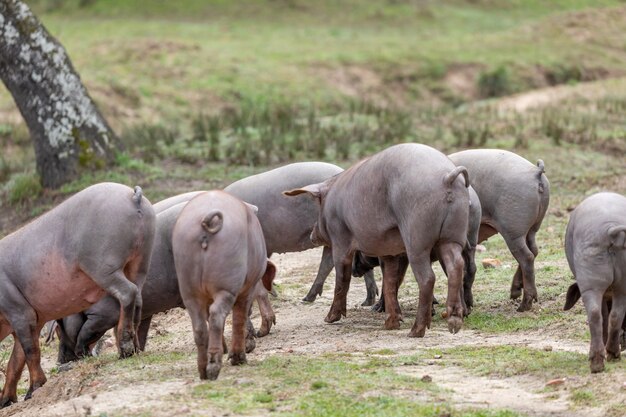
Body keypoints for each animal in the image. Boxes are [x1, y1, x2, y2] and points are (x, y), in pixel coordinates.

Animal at [0, 182, 155, 406]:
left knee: (127, 293)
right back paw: (133, 350)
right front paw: (8, 401)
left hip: (103, 266)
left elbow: (30, 352)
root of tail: (133, 195)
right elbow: (16, 360)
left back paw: (125, 350)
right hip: (140, 261)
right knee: (139, 298)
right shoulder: (31, 320)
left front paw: (35, 389)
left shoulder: (20, 312)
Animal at [174, 190, 274, 378]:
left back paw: (203, 371)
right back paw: (215, 367)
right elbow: (241, 317)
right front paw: (239, 357)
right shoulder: (248, 288)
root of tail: (207, 221)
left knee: (200, 325)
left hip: (188, 287)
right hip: (227, 281)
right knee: (217, 316)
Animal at [282, 142, 468, 334]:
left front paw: (329, 319)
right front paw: (391, 324)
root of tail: (446, 177)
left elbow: (342, 279)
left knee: (428, 278)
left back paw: (415, 332)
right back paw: (454, 324)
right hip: (452, 237)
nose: (312, 234)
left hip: (417, 240)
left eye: (318, 205)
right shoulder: (389, 250)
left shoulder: (340, 238)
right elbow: (390, 282)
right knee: (456, 266)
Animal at [448, 148, 544, 310]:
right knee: (534, 250)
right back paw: (517, 294)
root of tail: (536, 171)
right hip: (532, 228)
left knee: (527, 257)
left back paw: (523, 305)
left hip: (513, 231)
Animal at [560, 193, 624, 372]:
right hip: (619, 283)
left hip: (590, 280)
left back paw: (598, 362)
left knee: (596, 314)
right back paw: (610, 356)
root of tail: (611, 230)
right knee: (615, 314)